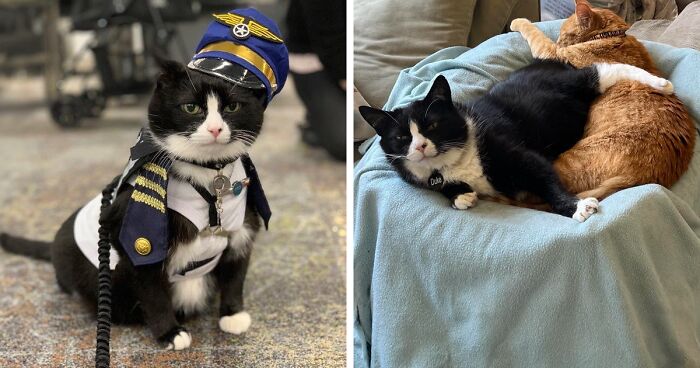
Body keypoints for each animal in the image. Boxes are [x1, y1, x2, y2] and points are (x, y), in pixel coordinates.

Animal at [0, 59, 268, 350]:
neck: (209, 179)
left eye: (232, 107)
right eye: (191, 107)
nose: (215, 129)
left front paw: (233, 315)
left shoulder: (242, 227)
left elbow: (235, 275)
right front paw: (170, 332)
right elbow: (152, 289)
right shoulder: (134, 235)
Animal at [360, 60, 672, 221]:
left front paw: (575, 207)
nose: (420, 146)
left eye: (433, 126)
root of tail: (550, 61)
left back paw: (659, 83)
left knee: (601, 70)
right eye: (401, 137)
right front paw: (460, 196)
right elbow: (445, 187)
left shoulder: (517, 154)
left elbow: (544, 177)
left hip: (572, 83)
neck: (455, 162)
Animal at [508, 0, 696, 200]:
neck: (609, 37)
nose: (558, 41)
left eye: (563, 35)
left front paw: (517, 22)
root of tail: (641, 179)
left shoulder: (553, 54)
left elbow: (533, 31)